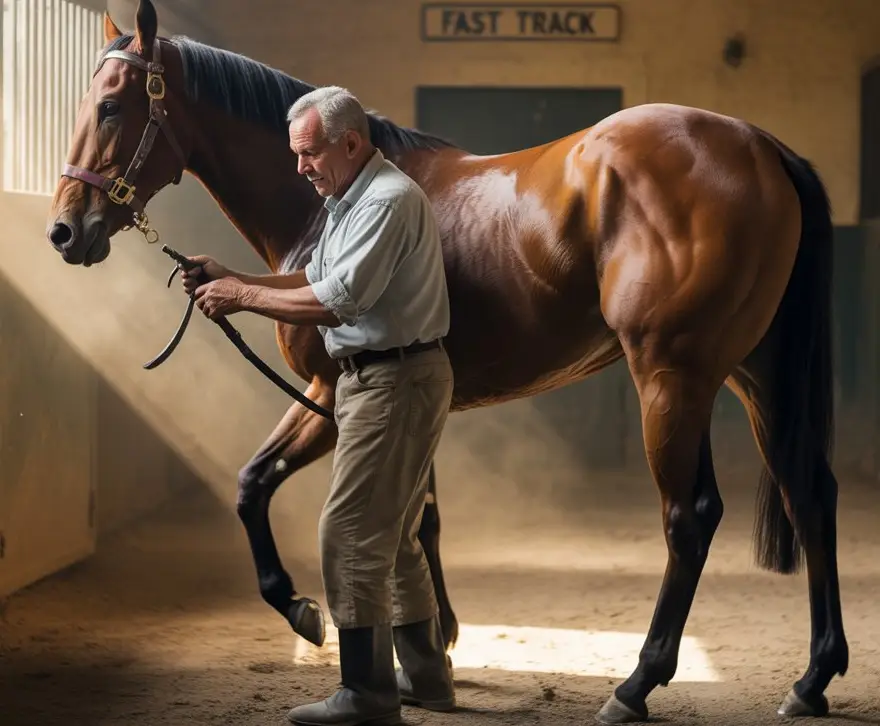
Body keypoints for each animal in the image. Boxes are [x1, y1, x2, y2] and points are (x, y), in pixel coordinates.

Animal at [46, 1, 848, 722]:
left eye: (112, 108)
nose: (64, 231)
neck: (322, 208)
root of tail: (759, 146)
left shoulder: (332, 391)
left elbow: (267, 490)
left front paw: (309, 611)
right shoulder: (399, 405)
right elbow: (396, 514)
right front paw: (433, 643)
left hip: (672, 378)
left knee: (690, 517)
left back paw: (636, 686)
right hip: (756, 376)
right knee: (810, 494)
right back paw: (812, 679)